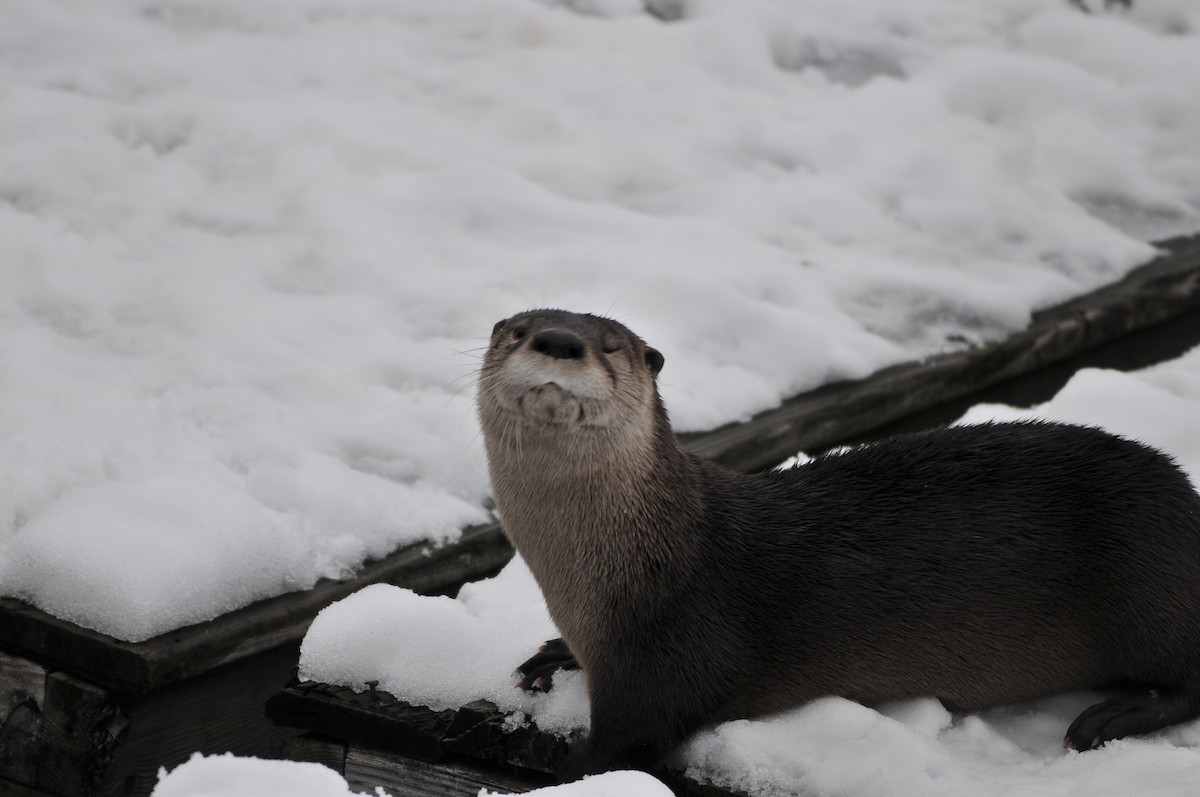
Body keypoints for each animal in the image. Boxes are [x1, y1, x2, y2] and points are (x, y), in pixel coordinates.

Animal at [476, 308, 1200, 776]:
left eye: (612, 346)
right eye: (518, 330)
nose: (558, 340)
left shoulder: (673, 654)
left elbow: (626, 743)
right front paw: (554, 654)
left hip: (1148, 577)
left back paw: (1109, 718)